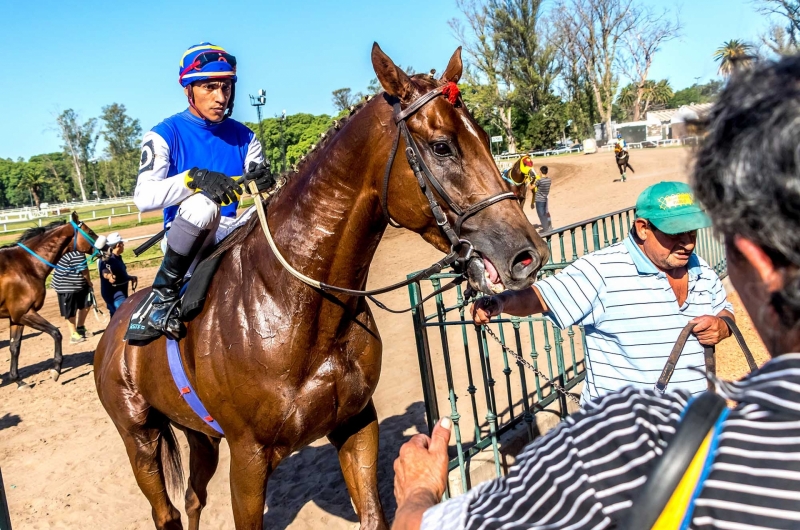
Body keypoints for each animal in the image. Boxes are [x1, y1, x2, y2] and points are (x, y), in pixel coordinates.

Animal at [0, 210, 97, 388]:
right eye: (90, 232)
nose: (109, 248)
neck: (25, 265)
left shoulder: (16, 317)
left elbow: (14, 347)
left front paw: (18, 380)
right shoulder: (25, 313)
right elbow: (56, 333)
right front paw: (56, 369)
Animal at [94, 45, 552, 528]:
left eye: (485, 137)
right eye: (442, 146)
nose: (527, 254)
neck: (296, 309)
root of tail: (116, 327)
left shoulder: (356, 425)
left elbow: (373, 512)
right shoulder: (248, 460)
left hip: (200, 436)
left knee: (193, 499)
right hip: (140, 439)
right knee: (166, 512)